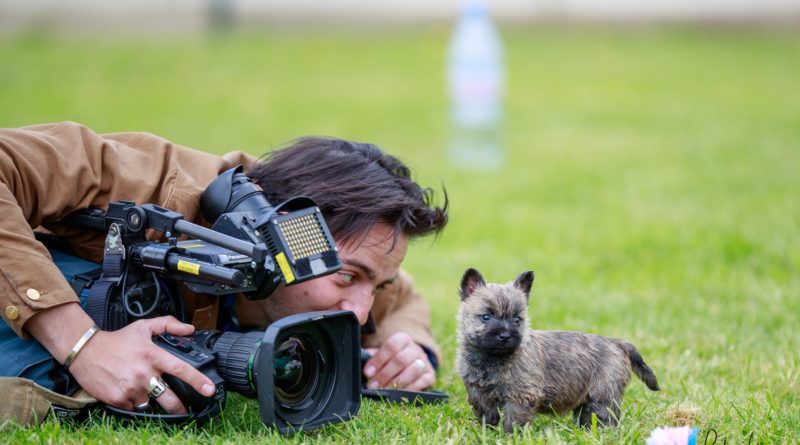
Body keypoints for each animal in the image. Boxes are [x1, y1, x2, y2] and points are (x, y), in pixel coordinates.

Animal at [454, 266, 660, 432]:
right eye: (486, 317)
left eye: (517, 320)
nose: (505, 335)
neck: (491, 359)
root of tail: (616, 342)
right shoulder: (478, 394)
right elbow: (487, 415)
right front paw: (487, 432)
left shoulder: (519, 396)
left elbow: (514, 420)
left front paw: (510, 436)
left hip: (603, 396)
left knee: (606, 418)